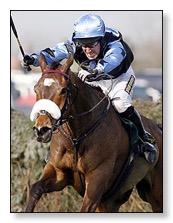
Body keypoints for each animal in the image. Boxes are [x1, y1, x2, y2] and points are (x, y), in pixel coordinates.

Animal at [25, 54, 162, 213]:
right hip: (112, 201)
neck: (76, 138)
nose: (42, 130)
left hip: (155, 195)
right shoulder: (58, 172)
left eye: (63, 90)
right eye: (35, 89)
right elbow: (35, 188)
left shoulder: (97, 179)